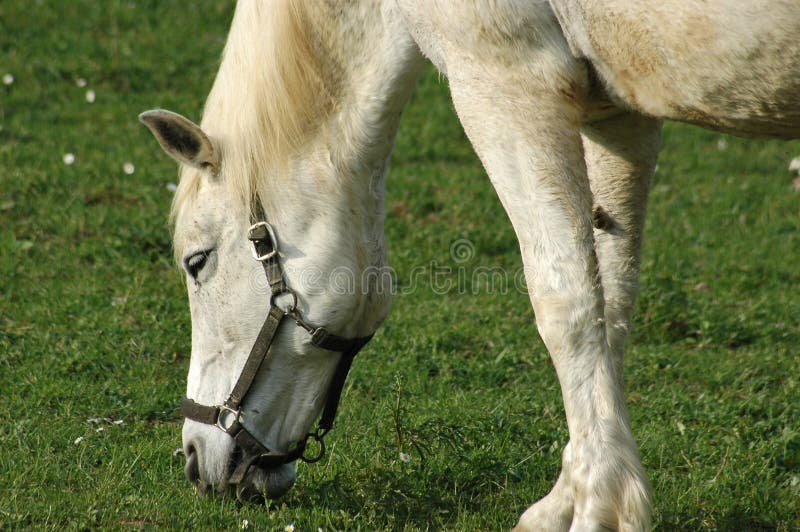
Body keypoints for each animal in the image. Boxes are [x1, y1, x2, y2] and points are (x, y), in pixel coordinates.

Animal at [139, 1, 800, 530]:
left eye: (196, 262)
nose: (193, 459)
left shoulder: (505, 80)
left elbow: (567, 306)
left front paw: (598, 507)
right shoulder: (619, 112)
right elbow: (608, 306)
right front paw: (570, 494)